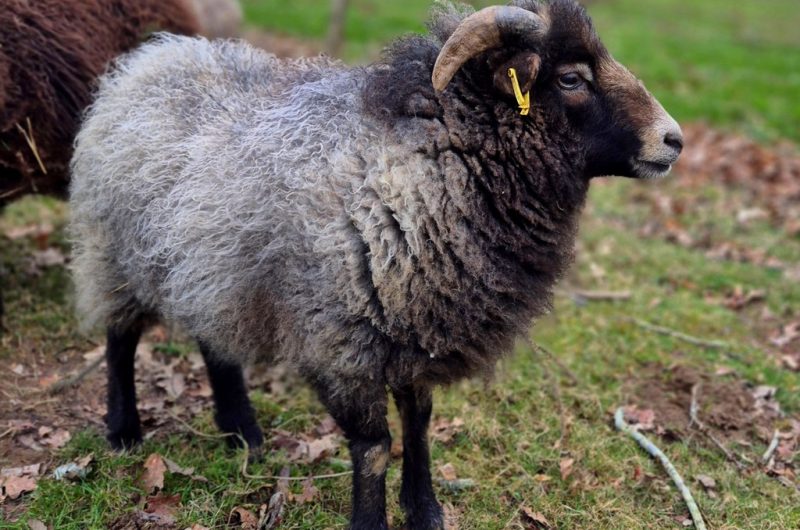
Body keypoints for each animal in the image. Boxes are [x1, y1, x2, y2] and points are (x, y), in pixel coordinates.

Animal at [69, 1, 683, 528]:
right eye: (572, 79)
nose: (674, 140)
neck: (417, 171)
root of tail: (153, 57)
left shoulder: (421, 327)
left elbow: (418, 426)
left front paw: (425, 511)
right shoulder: (342, 341)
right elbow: (374, 447)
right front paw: (371, 521)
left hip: (208, 266)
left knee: (214, 337)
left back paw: (242, 432)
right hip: (113, 251)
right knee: (120, 338)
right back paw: (124, 431)